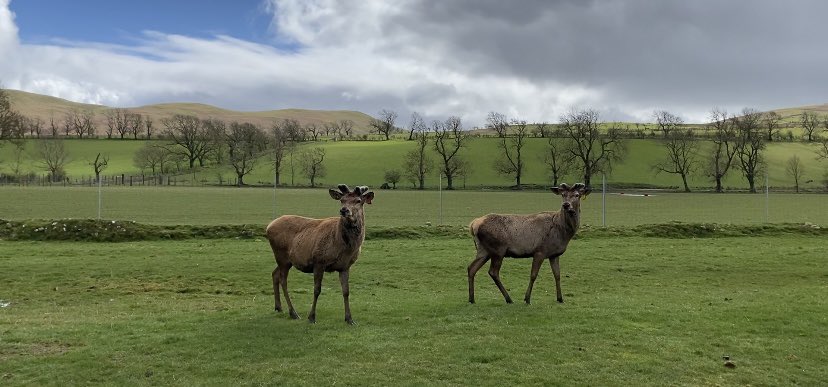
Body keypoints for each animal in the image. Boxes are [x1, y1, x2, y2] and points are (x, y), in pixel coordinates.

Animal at [266, 185, 376, 324]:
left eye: (358, 201)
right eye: (342, 200)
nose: (344, 210)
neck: (344, 247)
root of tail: (268, 226)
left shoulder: (345, 266)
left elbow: (346, 291)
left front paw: (349, 319)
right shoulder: (319, 261)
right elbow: (317, 290)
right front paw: (311, 317)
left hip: (286, 260)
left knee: (274, 274)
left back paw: (278, 307)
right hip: (281, 256)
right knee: (283, 280)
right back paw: (293, 313)